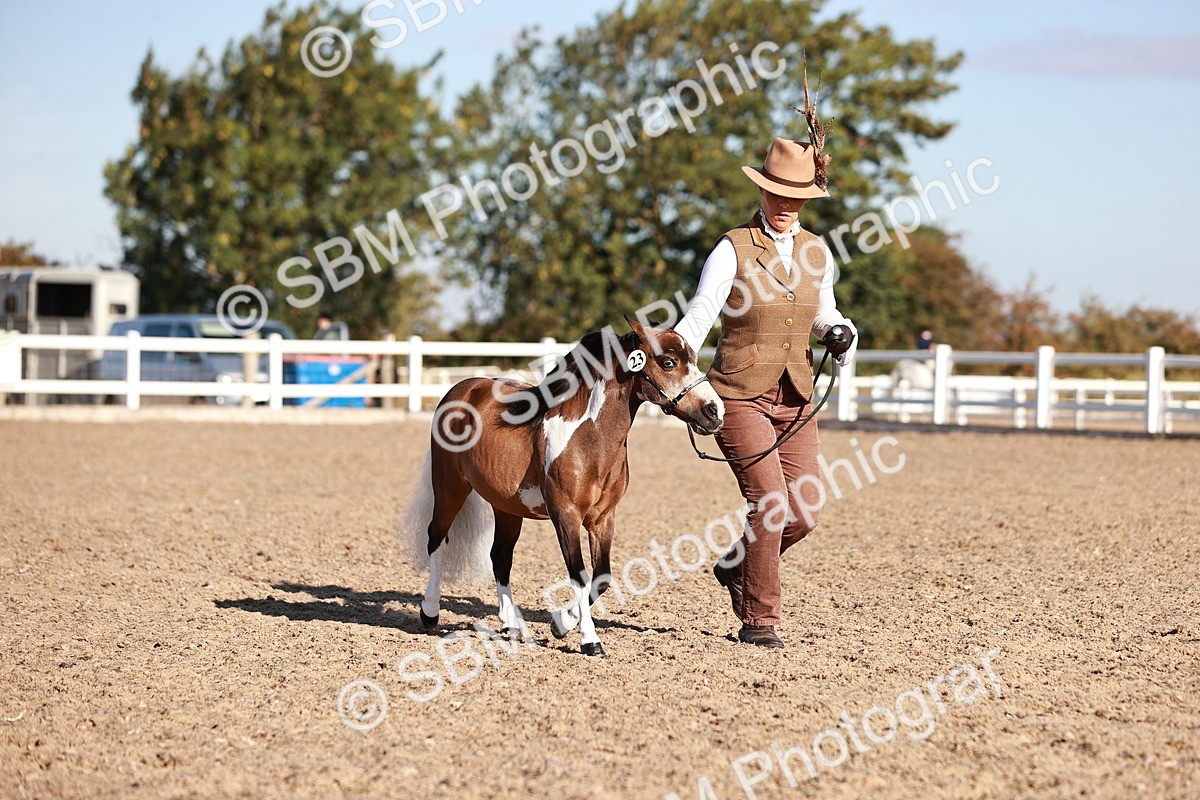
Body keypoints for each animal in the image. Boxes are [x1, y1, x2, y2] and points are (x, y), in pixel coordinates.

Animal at [399, 319, 724, 656]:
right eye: (669, 362)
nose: (715, 412)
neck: (589, 440)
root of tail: (462, 389)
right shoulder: (566, 515)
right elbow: (579, 575)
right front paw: (590, 640)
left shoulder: (603, 518)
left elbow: (601, 577)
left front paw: (561, 624)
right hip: (450, 487)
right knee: (436, 538)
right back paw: (430, 612)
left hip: (507, 507)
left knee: (500, 557)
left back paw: (510, 626)